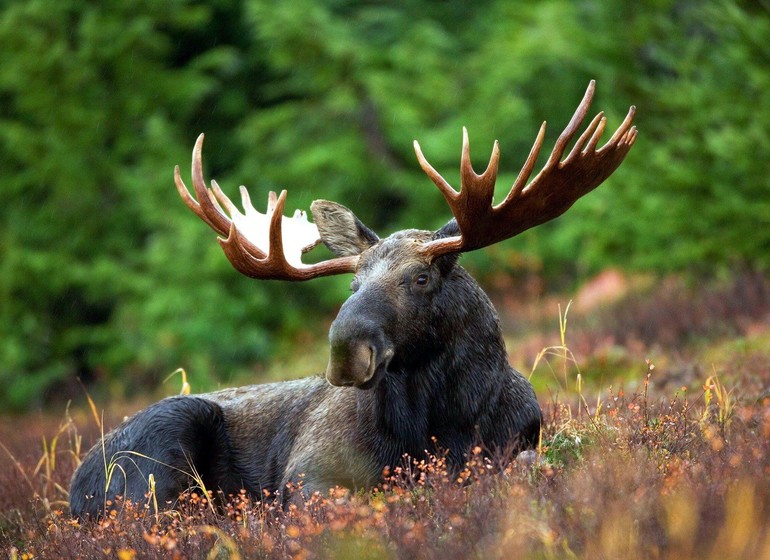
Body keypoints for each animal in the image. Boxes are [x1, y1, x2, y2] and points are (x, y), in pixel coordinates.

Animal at [69, 81, 636, 520]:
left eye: (421, 278)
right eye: (352, 284)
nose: (346, 350)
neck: (442, 423)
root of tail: (75, 490)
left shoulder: (518, 444)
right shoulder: (308, 474)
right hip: (162, 449)